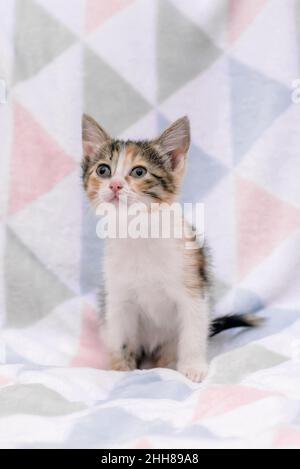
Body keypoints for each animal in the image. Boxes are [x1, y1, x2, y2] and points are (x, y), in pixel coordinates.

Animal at [81, 113, 258, 380]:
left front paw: (193, 367)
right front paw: (121, 369)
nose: (115, 185)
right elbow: (121, 337)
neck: (140, 233)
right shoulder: (118, 298)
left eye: (139, 171)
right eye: (103, 170)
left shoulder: (193, 288)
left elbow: (193, 332)